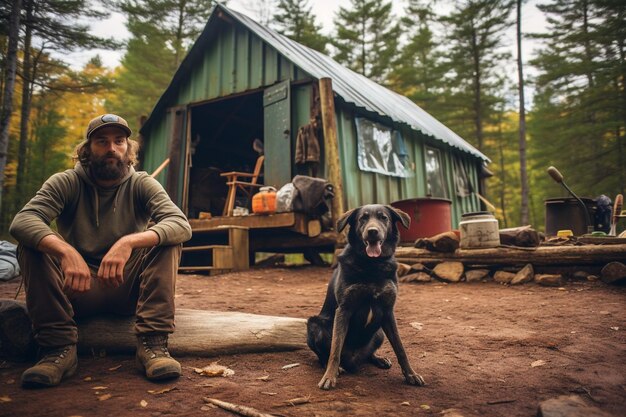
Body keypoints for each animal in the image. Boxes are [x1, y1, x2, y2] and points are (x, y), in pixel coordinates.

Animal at [304, 203, 424, 388]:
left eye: (383, 218)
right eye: (363, 218)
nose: (372, 231)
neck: (372, 264)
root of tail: (353, 360)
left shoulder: (388, 311)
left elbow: (400, 348)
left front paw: (411, 374)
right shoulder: (343, 310)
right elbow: (335, 349)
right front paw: (329, 376)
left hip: (379, 332)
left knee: (369, 354)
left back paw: (379, 359)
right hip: (314, 324)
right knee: (324, 355)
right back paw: (335, 367)